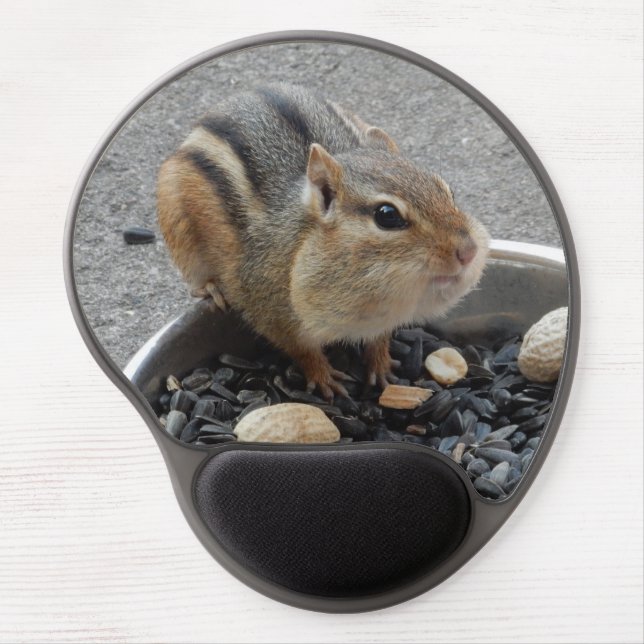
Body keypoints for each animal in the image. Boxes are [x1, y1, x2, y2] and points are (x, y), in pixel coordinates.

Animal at [157, 83, 490, 401]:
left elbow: (379, 339)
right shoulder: (271, 312)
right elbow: (302, 349)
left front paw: (381, 366)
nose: (468, 251)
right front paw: (323, 377)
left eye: (447, 191)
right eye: (387, 215)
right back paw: (212, 287)